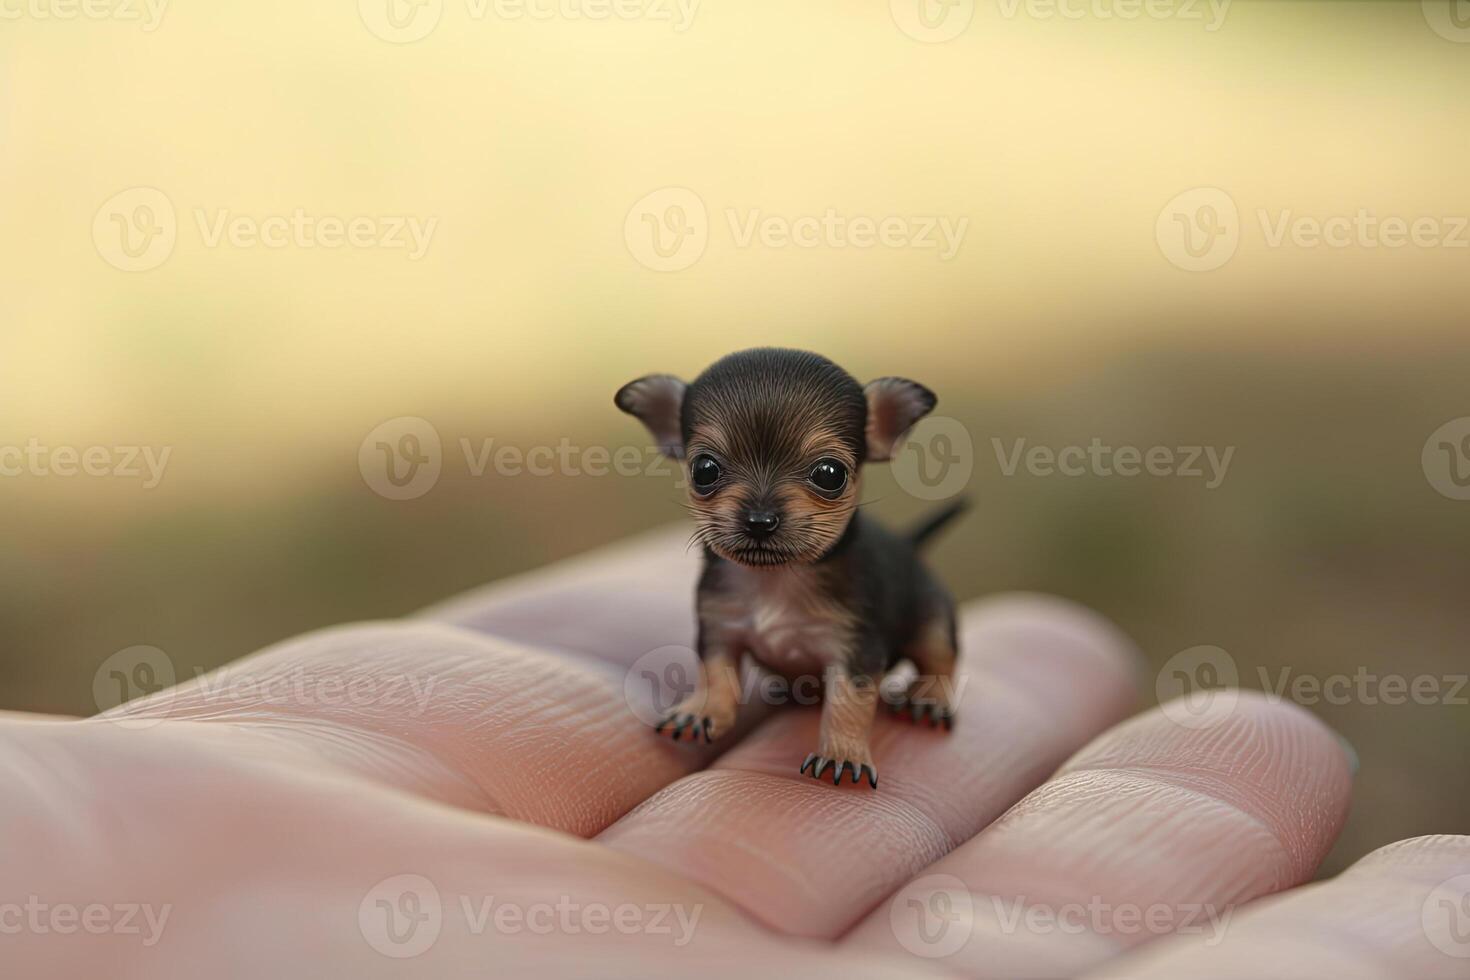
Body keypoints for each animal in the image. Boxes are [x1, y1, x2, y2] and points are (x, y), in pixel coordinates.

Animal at [611, 348, 964, 787]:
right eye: (704, 469)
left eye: (830, 474)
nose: (760, 520)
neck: (776, 579)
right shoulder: (719, 629)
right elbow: (716, 672)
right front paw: (703, 711)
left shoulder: (856, 651)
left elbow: (849, 702)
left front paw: (841, 753)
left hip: (932, 616)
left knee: (940, 657)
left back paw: (929, 699)